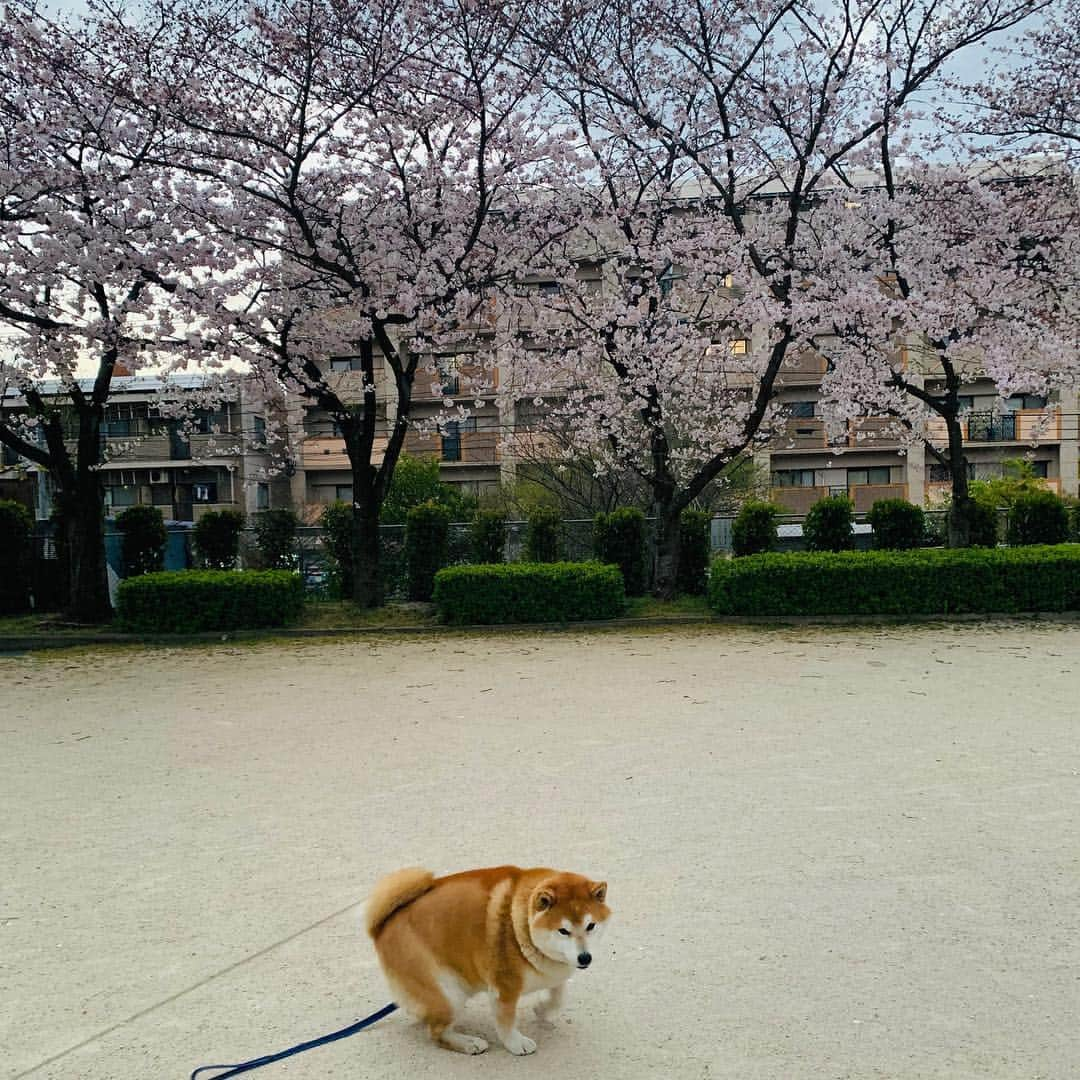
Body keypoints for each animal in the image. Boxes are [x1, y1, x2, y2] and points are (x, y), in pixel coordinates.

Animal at [367, 864, 609, 1058]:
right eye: (563, 931)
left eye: (591, 926)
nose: (584, 957)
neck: (520, 925)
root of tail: (381, 927)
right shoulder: (505, 989)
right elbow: (506, 1022)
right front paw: (516, 1044)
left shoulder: (555, 973)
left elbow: (558, 996)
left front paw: (543, 1009)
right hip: (450, 995)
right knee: (436, 1034)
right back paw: (469, 1043)